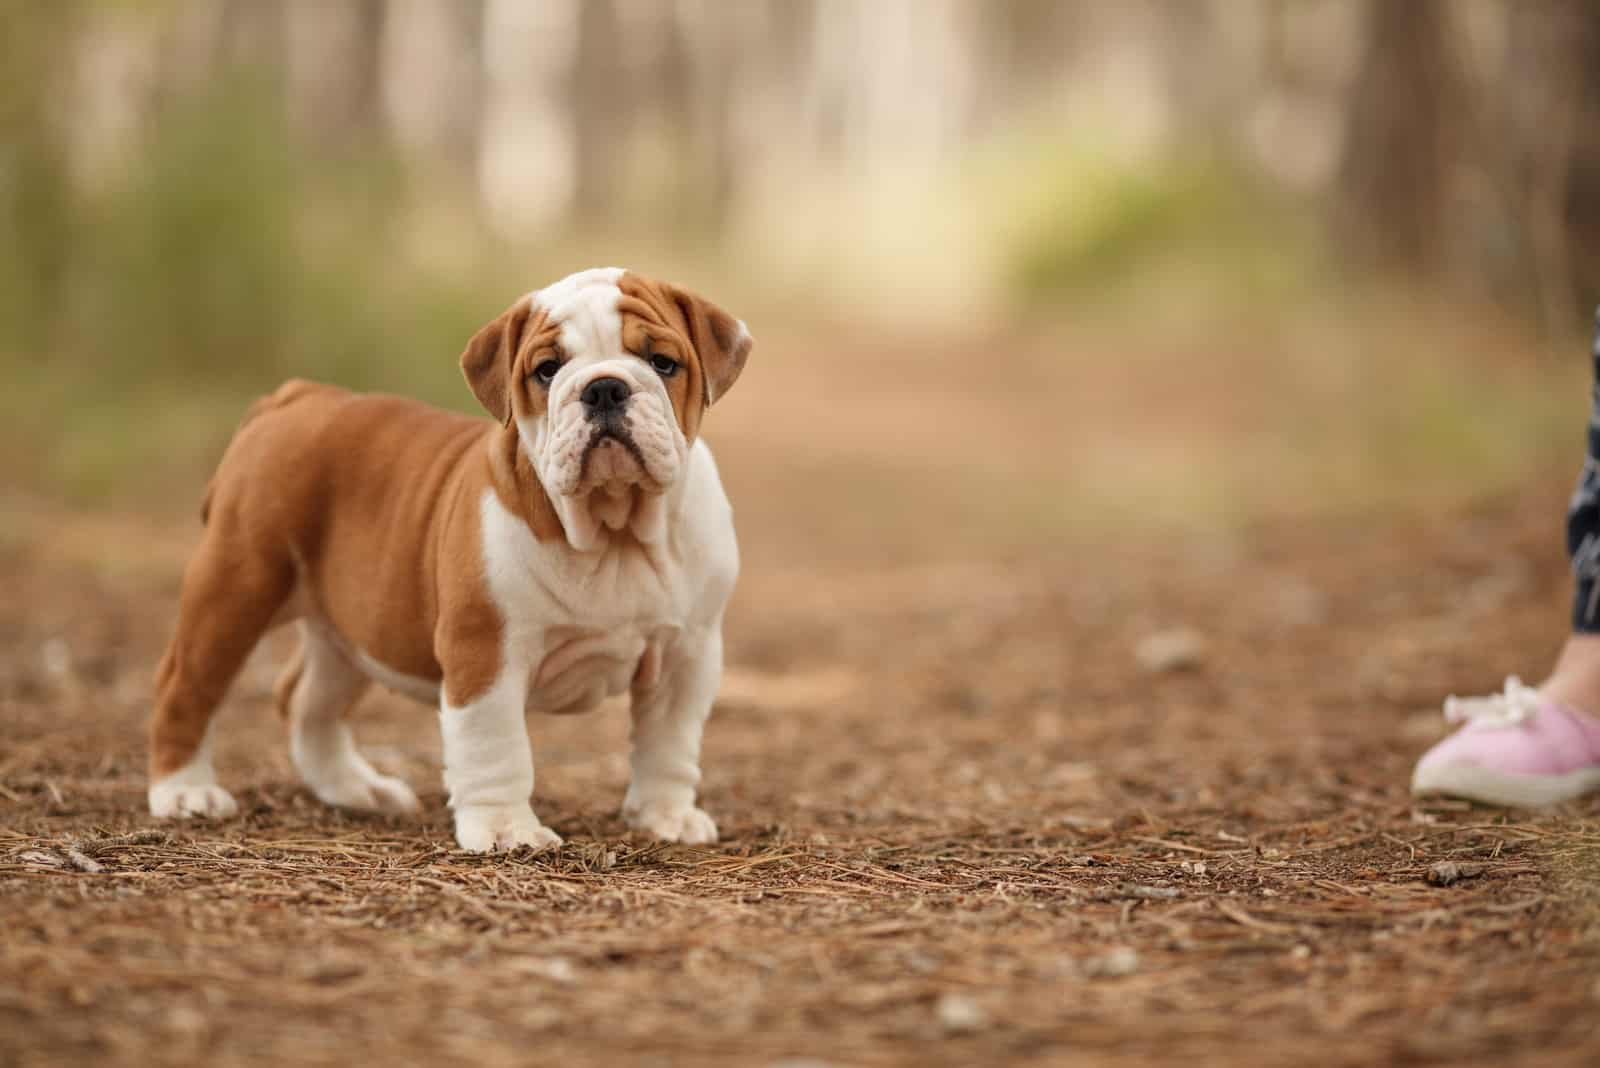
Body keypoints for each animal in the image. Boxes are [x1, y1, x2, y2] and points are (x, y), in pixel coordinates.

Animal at [147, 267, 752, 850]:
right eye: (547, 370)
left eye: (663, 362)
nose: (604, 388)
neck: (614, 530)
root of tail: (295, 397)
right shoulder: (484, 652)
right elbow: (495, 747)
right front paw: (507, 830)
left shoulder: (687, 656)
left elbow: (669, 745)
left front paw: (665, 816)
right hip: (236, 587)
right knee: (185, 686)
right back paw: (185, 792)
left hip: (349, 630)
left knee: (307, 701)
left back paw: (358, 790)